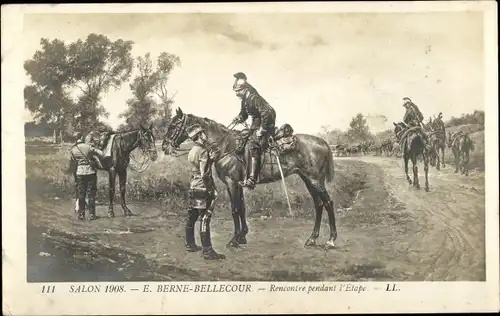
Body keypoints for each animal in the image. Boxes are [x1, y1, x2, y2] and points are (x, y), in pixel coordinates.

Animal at [162, 108, 338, 249]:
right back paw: (312, 239)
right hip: (308, 180)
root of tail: (323, 142)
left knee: (328, 203)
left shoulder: (232, 183)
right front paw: (242, 236)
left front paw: (234, 239)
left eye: (174, 126)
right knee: (319, 204)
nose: (164, 146)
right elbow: (242, 208)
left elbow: (235, 209)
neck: (226, 146)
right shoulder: (237, 185)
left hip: (315, 180)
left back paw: (331, 240)